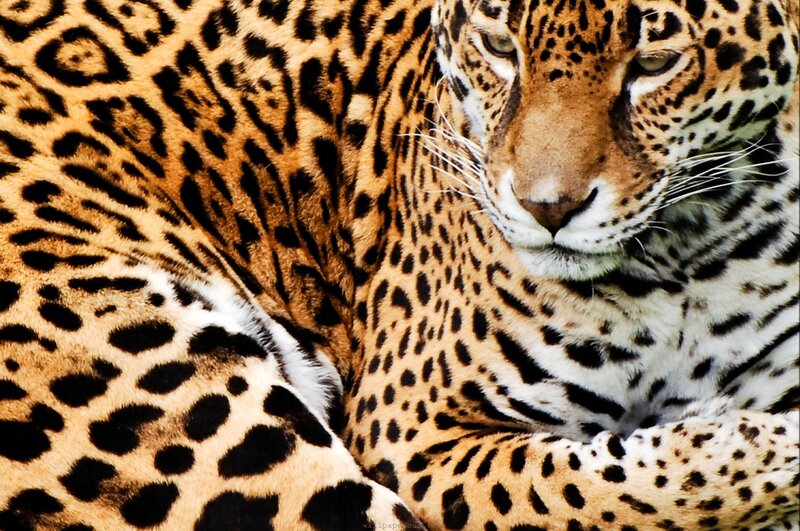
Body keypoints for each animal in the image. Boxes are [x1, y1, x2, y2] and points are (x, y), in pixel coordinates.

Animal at [0, 0, 798, 528]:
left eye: (655, 64)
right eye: (498, 47)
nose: (547, 208)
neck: (689, 255)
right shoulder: (414, 430)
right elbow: (604, 492)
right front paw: (757, 441)